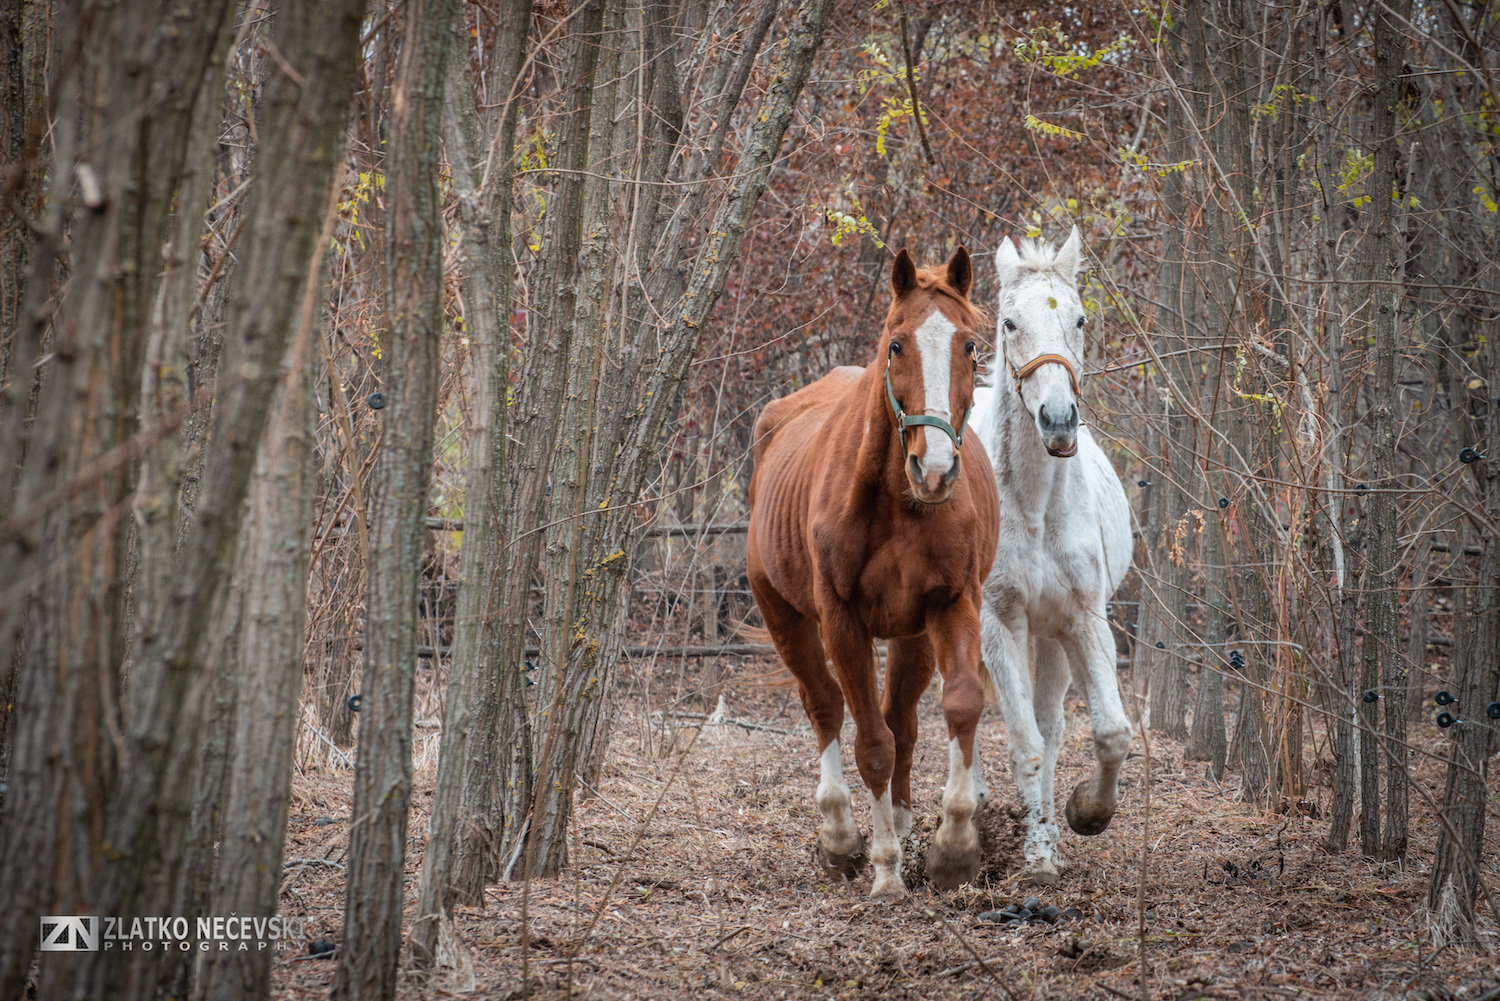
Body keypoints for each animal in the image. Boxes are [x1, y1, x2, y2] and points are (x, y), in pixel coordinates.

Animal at [747, 246, 996, 894]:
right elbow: (871, 743)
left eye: (970, 346)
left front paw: (954, 845)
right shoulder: (842, 622)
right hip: (783, 615)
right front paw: (885, 869)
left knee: (901, 717)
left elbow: (958, 706)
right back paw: (840, 834)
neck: (898, 502)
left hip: (913, 634)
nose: (935, 469)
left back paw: (903, 821)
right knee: (826, 705)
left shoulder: (952, 603)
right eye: (897, 344)